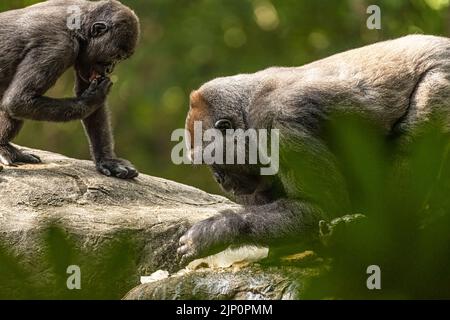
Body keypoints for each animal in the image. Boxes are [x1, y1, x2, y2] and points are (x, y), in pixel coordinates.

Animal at [0, 0, 139, 179]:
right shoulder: (59, 47)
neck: (79, 27)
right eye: (115, 56)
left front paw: (107, 160)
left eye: (121, 59)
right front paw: (90, 99)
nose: (110, 69)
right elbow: (18, 100)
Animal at [178, 35, 450, 262]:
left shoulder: (280, 125)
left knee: (414, 138)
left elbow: (320, 206)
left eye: (210, 158)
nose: (219, 179)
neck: (246, 113)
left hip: (441, 76)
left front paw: (217, 230)